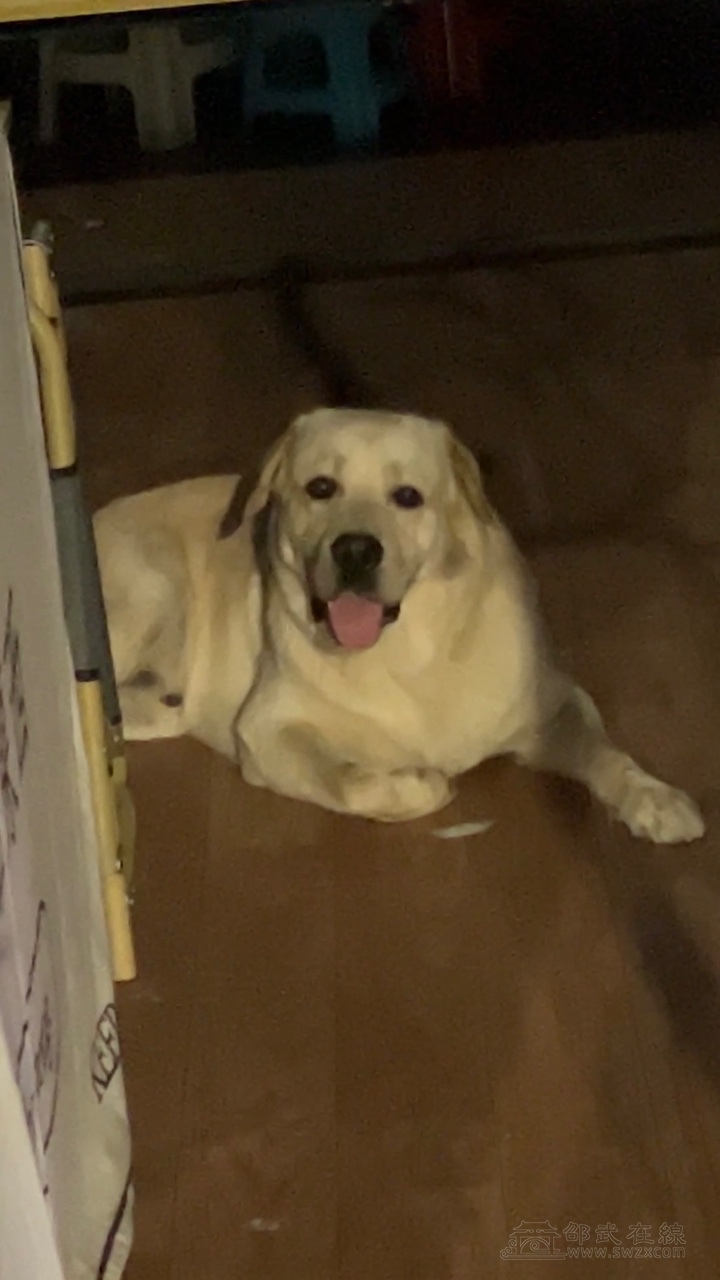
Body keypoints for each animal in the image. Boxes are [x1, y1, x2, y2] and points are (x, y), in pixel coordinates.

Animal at [94, 407, 704, 841]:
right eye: (320, 487)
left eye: (408, 496)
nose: (356, 551)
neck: (409, 653)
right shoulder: (267, 727)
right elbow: (353, 779)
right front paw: (420, 780)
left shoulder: (554, 702)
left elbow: (605, 753)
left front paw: (656, 800)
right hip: (157, 585)